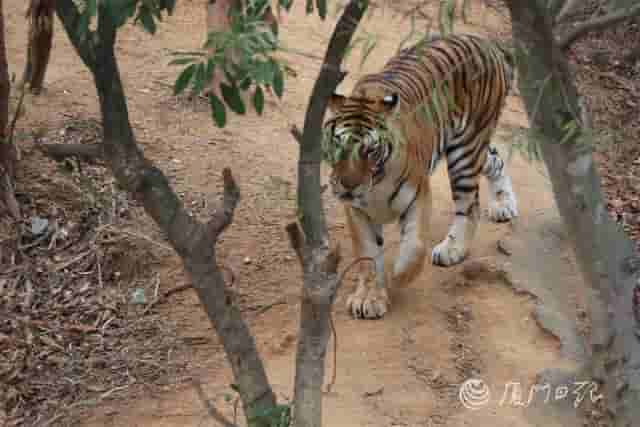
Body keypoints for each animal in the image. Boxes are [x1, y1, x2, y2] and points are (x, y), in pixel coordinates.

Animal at [322, 33, 516, 320]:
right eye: (338, 144)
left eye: (370, 150)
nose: (347, 186)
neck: (375, 184)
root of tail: (486, 43)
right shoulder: (357, 211)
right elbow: (367, 254)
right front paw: (369, 297)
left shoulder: (418, 195)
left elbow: (414, 247)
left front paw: (398, 277)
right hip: (475, 149)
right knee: (495, 159)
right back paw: (504, 204)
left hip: (466, 150)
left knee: (469, 207)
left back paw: (451, 249)